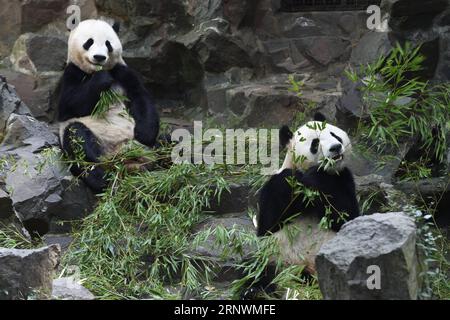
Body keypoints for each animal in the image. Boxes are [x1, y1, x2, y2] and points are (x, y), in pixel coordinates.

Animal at [57, 20, 160, 195]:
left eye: (108, 44)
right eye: (89, 42)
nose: (99, 57)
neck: (93, 71)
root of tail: (122, 160)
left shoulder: (122, 72)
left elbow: (140, 97)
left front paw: (144, 133)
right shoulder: (71, 73)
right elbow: (67, 106)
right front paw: (102, 79)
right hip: (94, 145)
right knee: (79, 143)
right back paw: (102, 180)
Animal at [244, 112, 360, 298]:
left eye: (334, 135)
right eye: (315, 143)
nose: (336, 147)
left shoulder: (343, 178)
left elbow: (346, 217)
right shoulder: (272, 188)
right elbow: (268, 225)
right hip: (275, 258)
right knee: (256, 269)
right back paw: (254, 291)